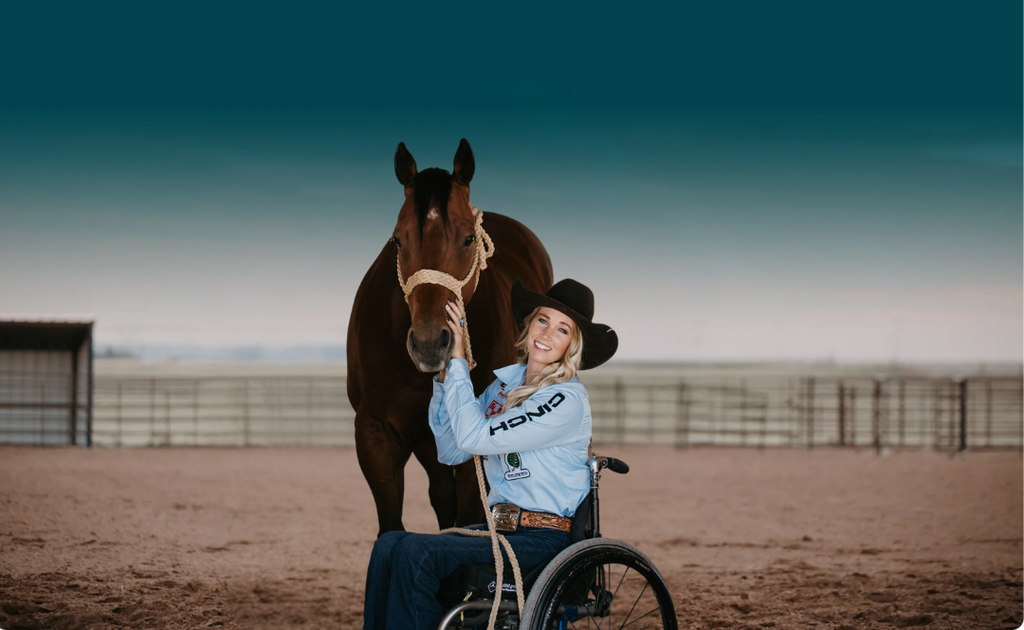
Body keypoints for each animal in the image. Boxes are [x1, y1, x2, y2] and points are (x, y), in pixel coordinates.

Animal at [347, 139, 554, 537]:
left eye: (468, 239)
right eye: (398, 240)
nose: (429, 344)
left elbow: (471, 522)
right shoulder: (375, 434)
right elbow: (392, 526)